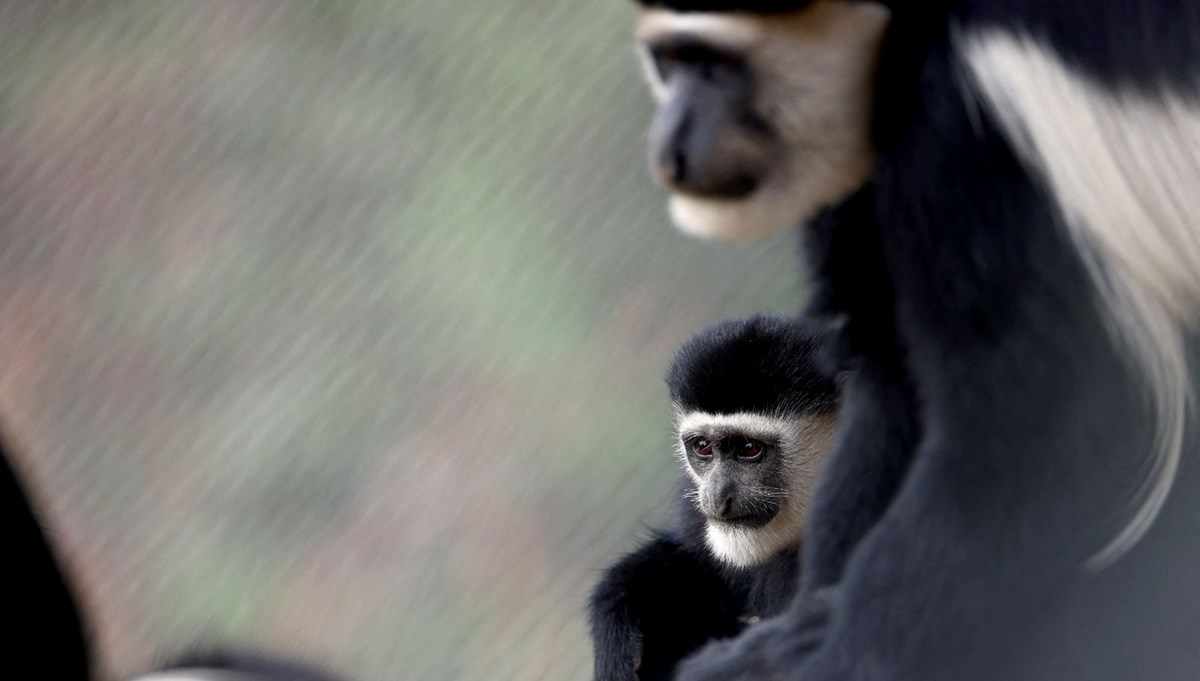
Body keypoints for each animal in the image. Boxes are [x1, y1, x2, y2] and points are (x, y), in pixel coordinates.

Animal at [624, 1, 1200, 681]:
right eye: (669, 63)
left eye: (715, 65)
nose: (670, 147)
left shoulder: (959, 135)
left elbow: (1026, 440)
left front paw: (835, 653)